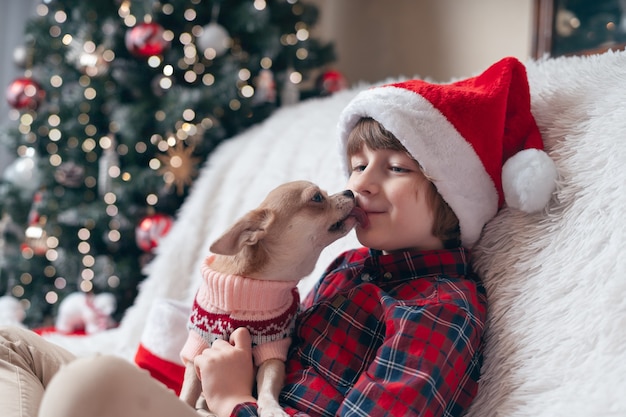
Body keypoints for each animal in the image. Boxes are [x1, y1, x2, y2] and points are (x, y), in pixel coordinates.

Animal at [178, 180, 358, 414]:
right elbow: (189, 388)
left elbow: (268, 384)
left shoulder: (272, 347)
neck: (249, 286)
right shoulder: (198, 346)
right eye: (317, 197)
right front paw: (183, 403)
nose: (350, 191)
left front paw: (271, 408)